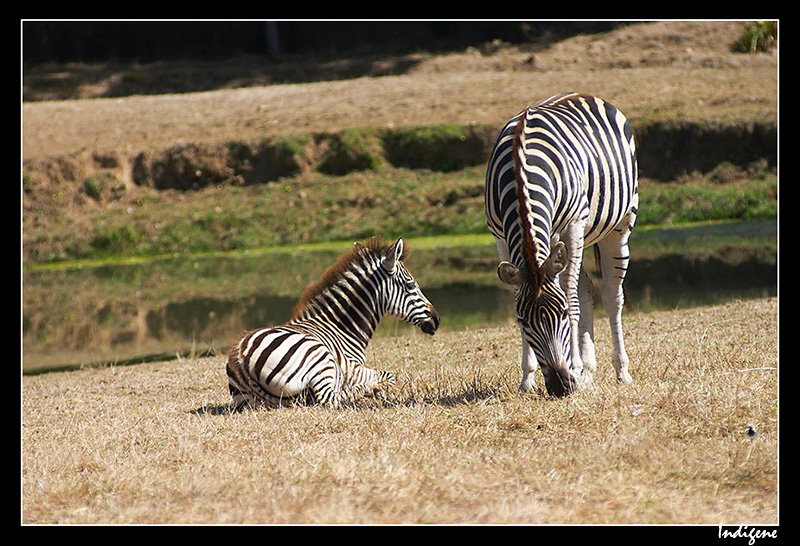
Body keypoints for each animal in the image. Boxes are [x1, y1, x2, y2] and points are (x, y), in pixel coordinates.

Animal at [225, 234, 440, 408]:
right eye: (410, 285)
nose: (437, 319)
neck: (341, 328)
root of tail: (242, 358)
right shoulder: (352, 368)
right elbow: (390, 376)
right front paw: (377, 389)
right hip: (319, 357)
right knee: (329, 398)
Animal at [484, 91, 640, 394]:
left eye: (563, 313)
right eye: (522, 320)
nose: (559, 386)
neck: (520, 170)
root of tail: (585, 94)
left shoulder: (574, 226)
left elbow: (569, 294)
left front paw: (575, 368)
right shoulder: (500, 235)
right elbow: (518, 292)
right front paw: (527, 379)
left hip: (619, 225)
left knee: (611, 296)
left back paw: (621, 371)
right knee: (587, 288)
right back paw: (589, 373)